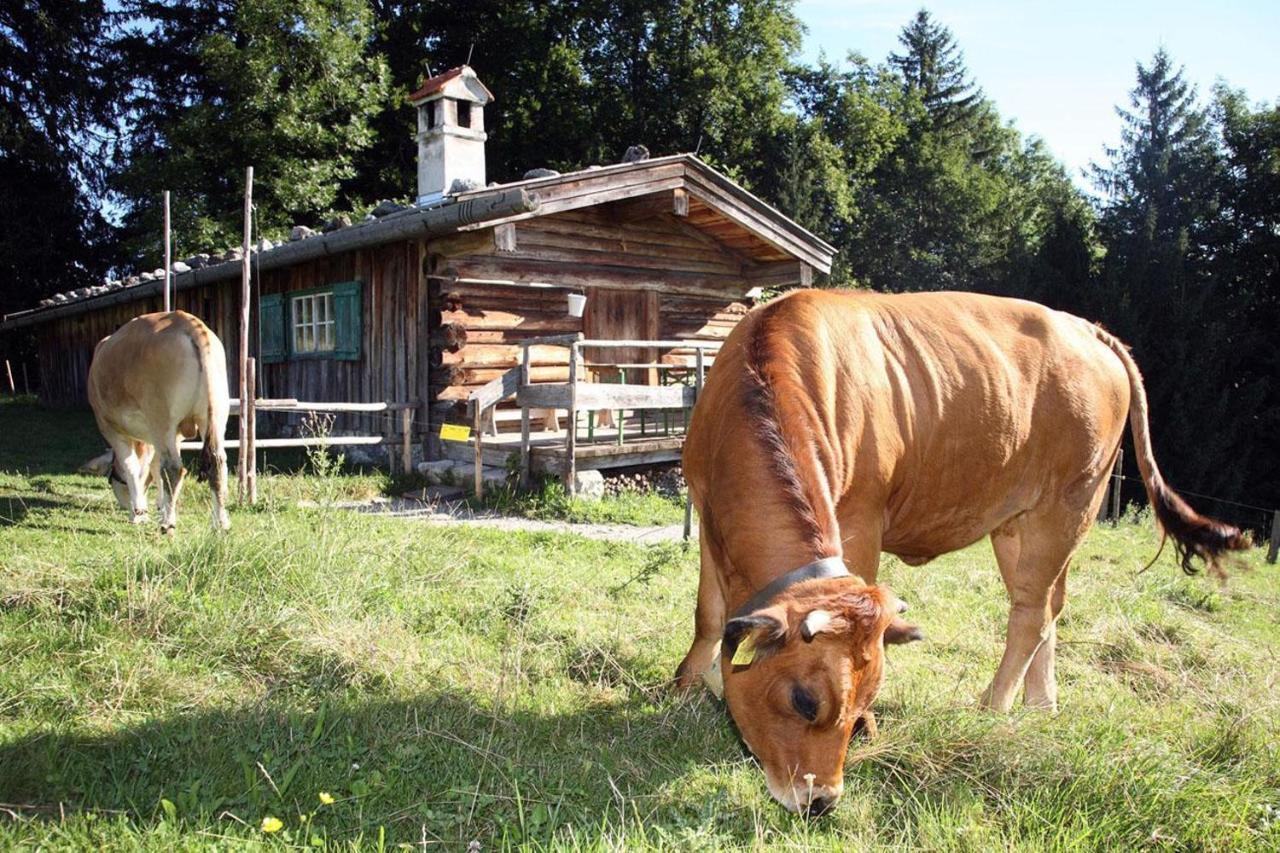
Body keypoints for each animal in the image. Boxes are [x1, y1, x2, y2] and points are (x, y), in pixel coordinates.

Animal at [87, 308, 232, 527]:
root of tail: (187, 322)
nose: (124, 505)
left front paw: (138, 513)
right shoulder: (171, 435)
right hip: (213, 415)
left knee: (174, 468)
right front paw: (160, 506)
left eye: (112, 479)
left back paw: (168, 523)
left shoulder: (110, 427)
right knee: (217, 462)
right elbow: (154, 467)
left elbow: (132, 466)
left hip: (161, 418)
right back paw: (220, 522)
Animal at [680, 286, 1249, 809]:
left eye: (865, 698)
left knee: (1030, 614)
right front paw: (683, 687)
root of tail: (1088, 329)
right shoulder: (707, 518)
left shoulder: (862, 519)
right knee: (1049, 606)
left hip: (1070, 505)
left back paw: (994, 708)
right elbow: (708, 615)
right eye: (803, 700)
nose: (823, 800)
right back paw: (1042, 707)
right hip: (1019, 523)